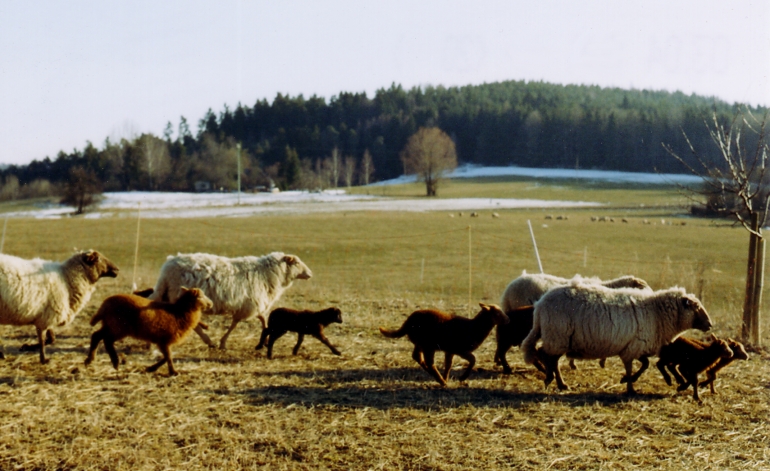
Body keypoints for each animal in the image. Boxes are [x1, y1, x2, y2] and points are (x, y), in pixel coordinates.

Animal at [85, 287, 213, 376]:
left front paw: (151, 368)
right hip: (118, 327)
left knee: (96, 336)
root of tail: (105, 305)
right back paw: (115, 362)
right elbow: (168, 357)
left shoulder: (162, 341)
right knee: (107, 340)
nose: (211, 304)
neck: (179, 313)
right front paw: (173, 372)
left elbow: (166, 357)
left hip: (109, 325)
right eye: (200, 297)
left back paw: (90, 360)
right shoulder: (164, 340)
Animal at [149, 252, 312, 350]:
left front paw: (264, 340)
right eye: (297, 263)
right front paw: (223, 342)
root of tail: (168, 266)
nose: (310, 274)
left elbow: (259, 320)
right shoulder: (251, 303)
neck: (268, 273)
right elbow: (240, 323)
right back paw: (208, 341)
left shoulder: (250, 303)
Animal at [379, 303, 509, 386]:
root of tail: (408, 322)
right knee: (429, 363)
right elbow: (473, 360)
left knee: (417, 356)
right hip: (428, 345)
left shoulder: (450, 350)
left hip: (420, 343)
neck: (473, 327)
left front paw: (447, 377)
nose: (508, 320)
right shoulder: (460, 349)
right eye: (497, 313)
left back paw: (436, 376)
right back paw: (441, 381)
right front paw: (462, 377)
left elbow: (448, 365)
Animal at [521, 283, 713, 394]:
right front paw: (629, 386)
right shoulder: (633, 347)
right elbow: (631, 367)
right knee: (546, 356)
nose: (710, 324)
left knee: (550, 358)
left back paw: (560, 383)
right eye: (696, 307)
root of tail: (540, 305)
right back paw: (551, 380)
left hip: (559, 338)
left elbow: (644, 365)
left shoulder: (635, 346)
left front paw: (629, 381)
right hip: (558, 336)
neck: (657, 314)